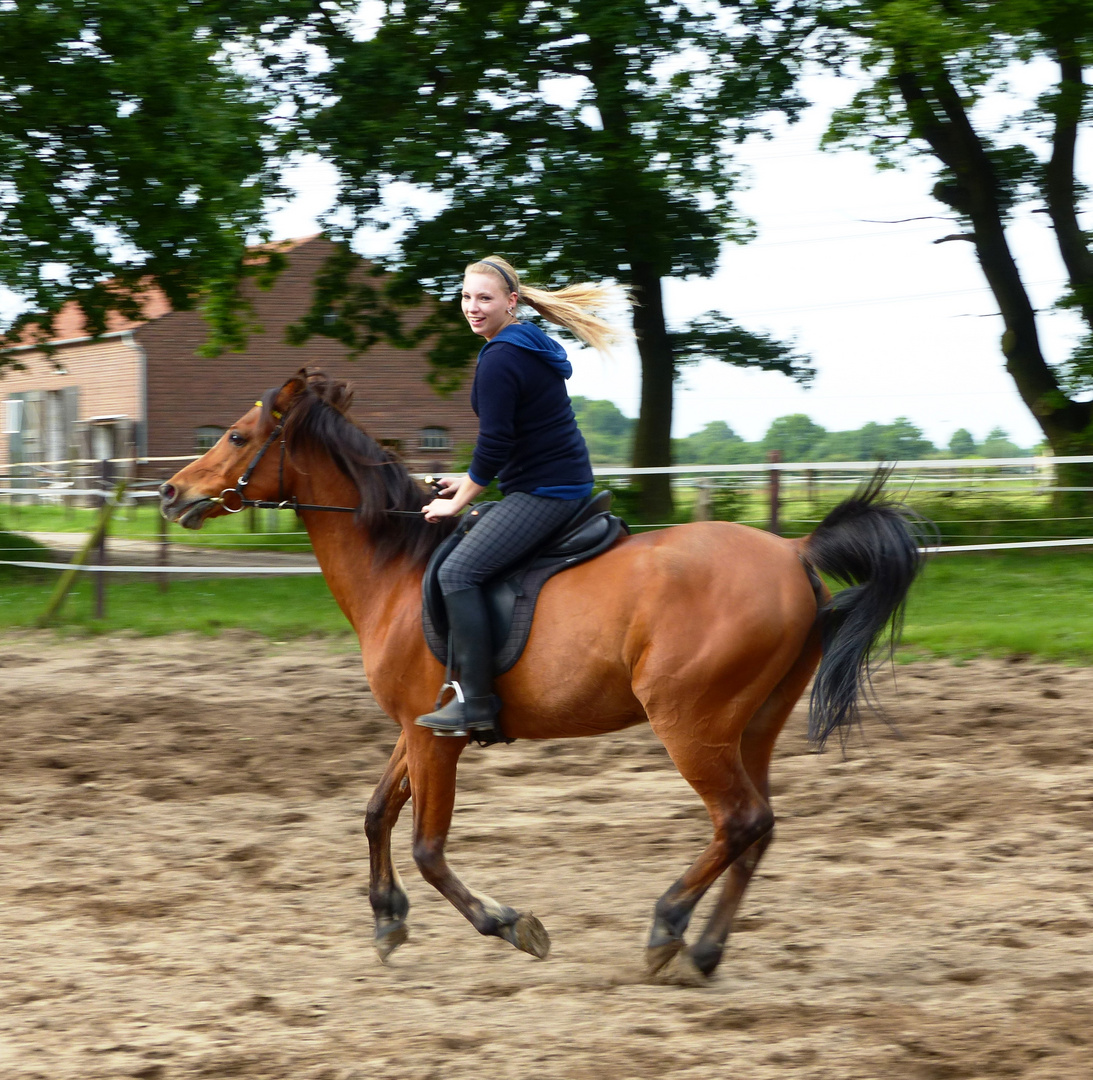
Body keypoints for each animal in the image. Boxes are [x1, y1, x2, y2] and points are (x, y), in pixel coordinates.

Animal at [158, 369, 926, 979]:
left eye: (235, 437)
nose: (168, 493)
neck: (398, 567)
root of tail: (794, 552)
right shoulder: (420, 727)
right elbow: (378, 814)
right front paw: (386, 918)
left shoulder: (436, 737)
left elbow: (428, 847)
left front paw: (507, 923)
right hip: (753, 726)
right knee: (756, 826)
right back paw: (705, 952)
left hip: (691, 723)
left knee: (740, 819)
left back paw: (667, 927)